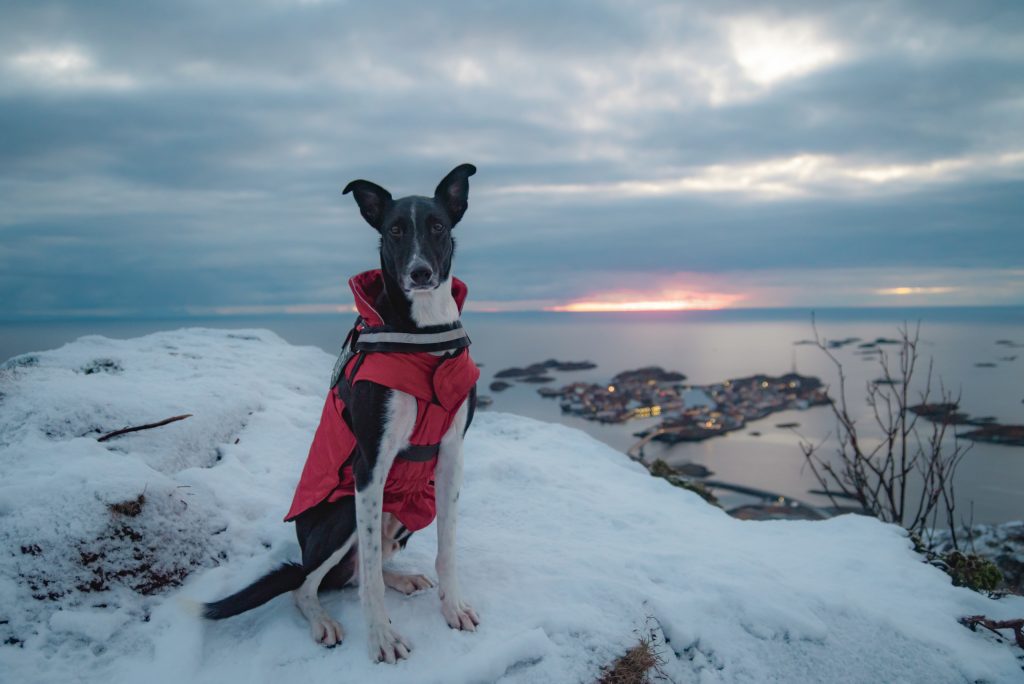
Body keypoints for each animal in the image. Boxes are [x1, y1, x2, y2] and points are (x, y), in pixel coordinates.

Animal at [205, 163, 485, 663]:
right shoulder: (369, 464)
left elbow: (446, 549)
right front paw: (381, 638)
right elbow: (369, 575)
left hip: (405, 515)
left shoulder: (451, 455)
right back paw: (325, 620)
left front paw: (452, 607)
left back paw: (402, 578)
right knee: (310, 584)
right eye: (395, 230)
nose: (419, 272)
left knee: (356, 572)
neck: (422, 335)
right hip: (339, 518)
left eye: (437, 226)